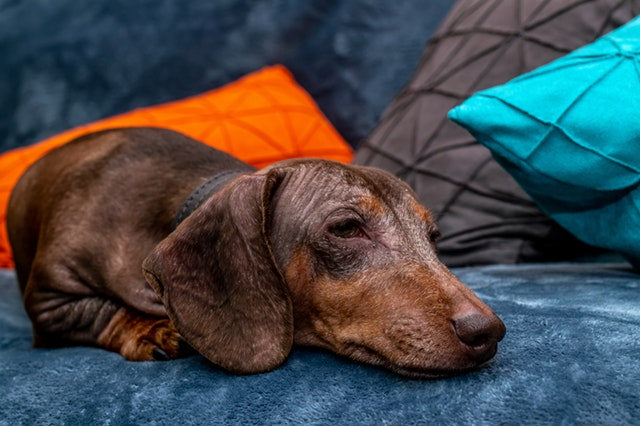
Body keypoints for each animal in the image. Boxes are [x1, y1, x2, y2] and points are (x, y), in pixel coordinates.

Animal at [5, 125, 504, 376]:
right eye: (346, 228)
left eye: (433, 236)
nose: (489, 332)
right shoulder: (50, 300)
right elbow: (101, 312)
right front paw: (151, 329)